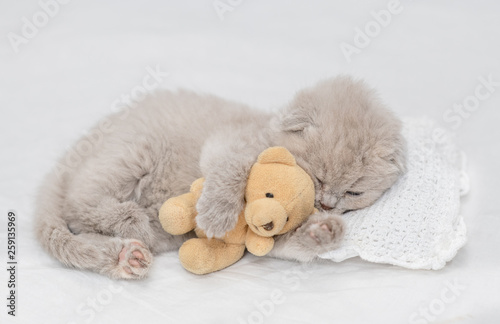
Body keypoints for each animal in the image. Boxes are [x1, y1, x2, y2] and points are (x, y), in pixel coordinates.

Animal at [34, 76, 402, 278]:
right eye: (318, 178)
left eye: (354, 193)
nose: (326, 205)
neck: (266, 133)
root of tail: (73, 153)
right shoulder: (227, 143)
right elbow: (231, 170)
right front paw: (216, 214)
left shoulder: (269, 241)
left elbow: (290, 244)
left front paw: (323, 231)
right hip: (132, 151)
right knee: (77, 206)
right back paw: (130, 219)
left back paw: (128, 256)